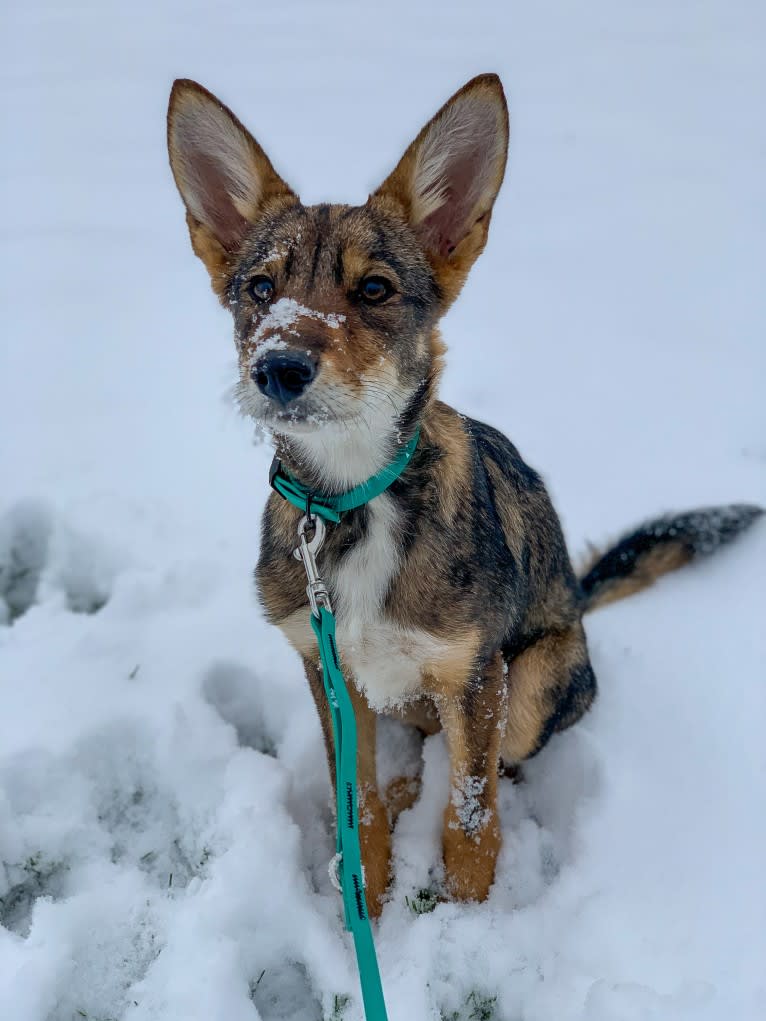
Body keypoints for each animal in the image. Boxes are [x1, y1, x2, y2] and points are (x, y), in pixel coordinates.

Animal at [166, 75, 763, 914]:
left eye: (374, 289)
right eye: (260, 288)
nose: (278, 368)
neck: (355, 504)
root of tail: (580, 601)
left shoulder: (477, 675)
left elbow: (472, 819)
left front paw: (468, 917)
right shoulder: (328, 671)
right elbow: (358, 800)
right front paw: (365, 897)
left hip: (535, 679)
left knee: (498, 757)